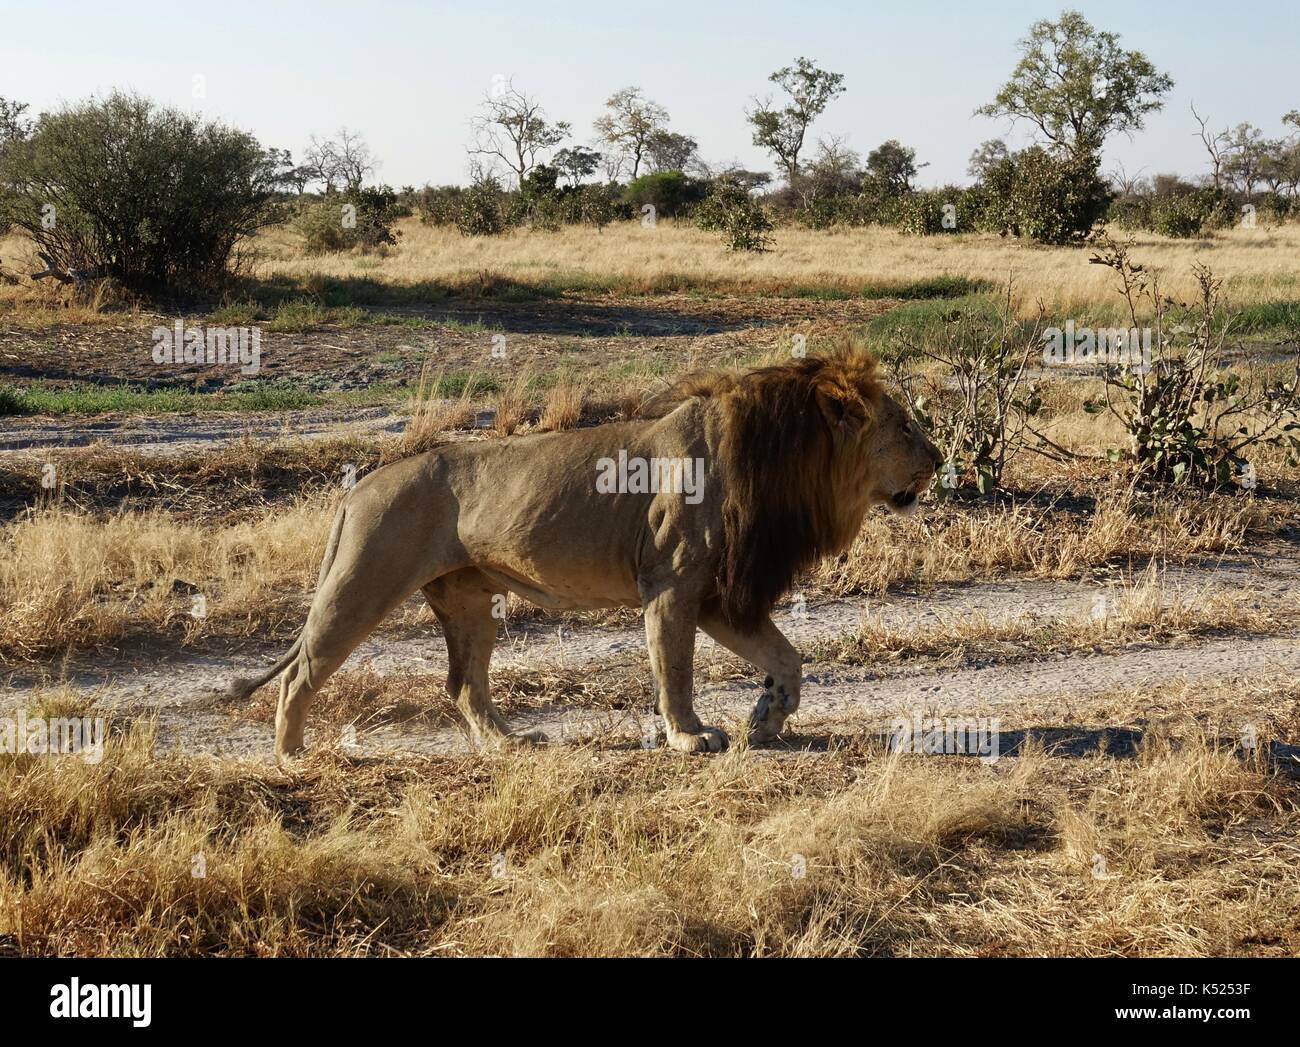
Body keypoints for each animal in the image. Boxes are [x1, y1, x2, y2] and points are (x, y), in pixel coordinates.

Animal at [233, 345, 941, 754]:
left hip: (467, 602)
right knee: (301, 671)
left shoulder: (716, 595)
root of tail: (357, 490)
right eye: (905, 426)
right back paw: (292, 756)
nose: (937, 461)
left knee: (463, 685)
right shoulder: (672, 582)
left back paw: (510, 743)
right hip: (360, 586)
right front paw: (690, 737)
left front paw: (767, 718)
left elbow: (787, 658)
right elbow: (675, 669)